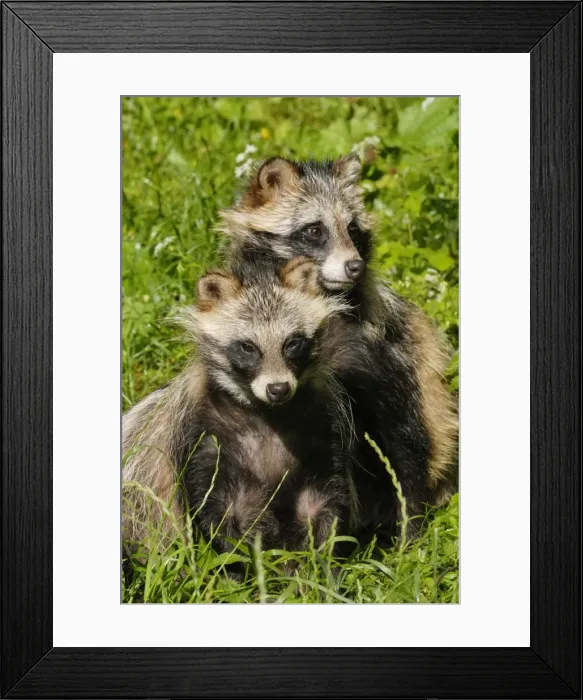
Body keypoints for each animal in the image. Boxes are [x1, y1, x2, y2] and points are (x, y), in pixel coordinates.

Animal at [122, 258, 355, 555]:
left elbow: (326, 500)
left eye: (292, 343)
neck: (267, 414)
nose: (278, 389)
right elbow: (215, 507)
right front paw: (239, 560)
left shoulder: (320, 425)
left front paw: (320, 558)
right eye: (247, 347)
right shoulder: (202, 434)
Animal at [220, 155, 458, 543]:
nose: (355, 266)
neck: (321, 297)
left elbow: (401, 436)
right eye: (314, 230)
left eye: (353, 229)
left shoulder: (381, 351)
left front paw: (411, 527)